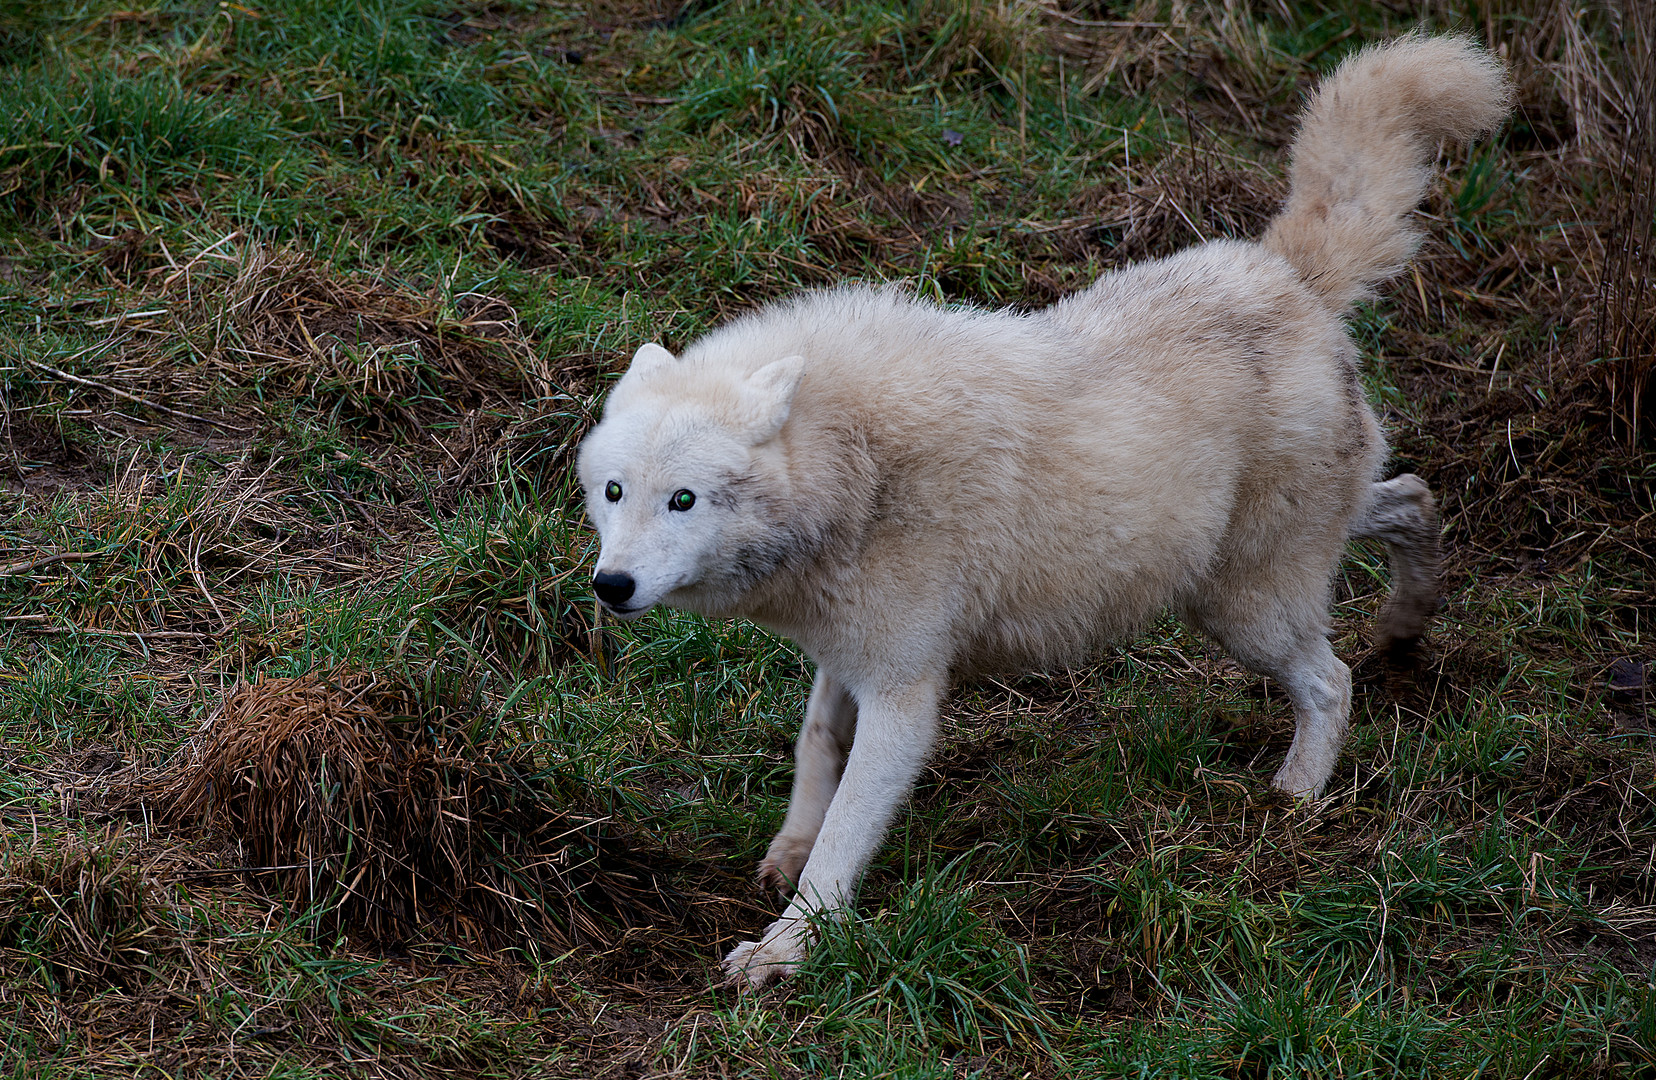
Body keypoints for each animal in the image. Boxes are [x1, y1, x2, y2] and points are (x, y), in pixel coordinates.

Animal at [576, 35, 1510, 987]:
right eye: (614, 493)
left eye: (683, 499)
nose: (611, 587)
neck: (857, 468)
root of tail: (1288, 276)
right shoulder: (847, 656)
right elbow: (813, 749)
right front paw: (786, 856)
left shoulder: (905, 692)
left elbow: (847, 833)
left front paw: (788, 949)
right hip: (1282, 560)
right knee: (1412, 499)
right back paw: (1407, 621)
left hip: (1242, 612)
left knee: (1332, 681)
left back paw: (1289, 806)